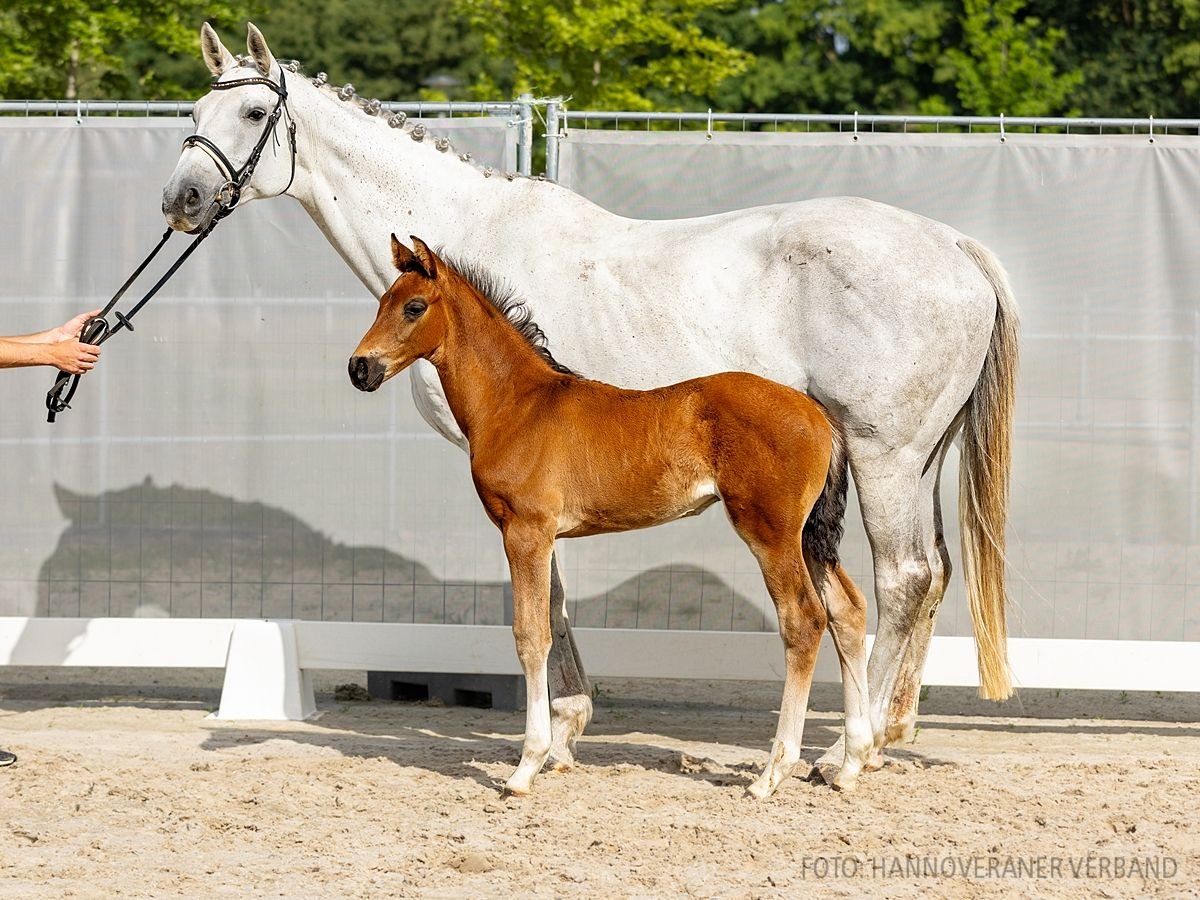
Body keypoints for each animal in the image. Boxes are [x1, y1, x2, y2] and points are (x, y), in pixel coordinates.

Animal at [348, 236, 873, 801]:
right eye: (381, 302)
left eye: (413, 307)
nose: (360, 369)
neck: (518, 405)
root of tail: (817, 413)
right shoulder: (543, 536)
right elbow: (549, 625)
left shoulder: (525, 532)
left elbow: (530, 635)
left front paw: (525, 769)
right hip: (809, 536)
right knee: (847, 612)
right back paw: (849, 766)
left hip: (771, 532)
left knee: (804, 619)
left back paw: (771, 775)